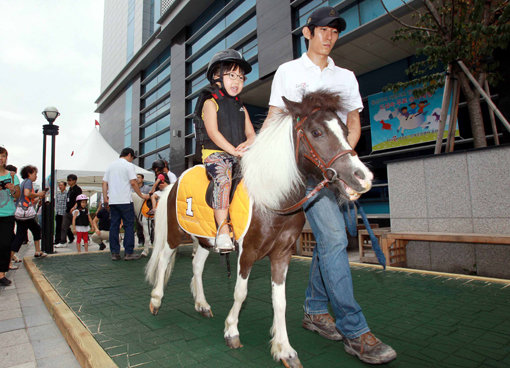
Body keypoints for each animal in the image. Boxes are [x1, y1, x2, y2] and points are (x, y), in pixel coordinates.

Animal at [145, 90, 372, 368]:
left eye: (345, 129)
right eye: (317, 132)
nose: (363, 177)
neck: (273, 197)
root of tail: (173, 184)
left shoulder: (282, 254)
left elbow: (280, 301)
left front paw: (284, 349)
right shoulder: (248, 252)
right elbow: (241, 292)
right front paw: (232, 330)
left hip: (205, 240)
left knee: (197, 266)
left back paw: (202, 304)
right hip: (176, 234)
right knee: (164, 259)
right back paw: (156, 301)